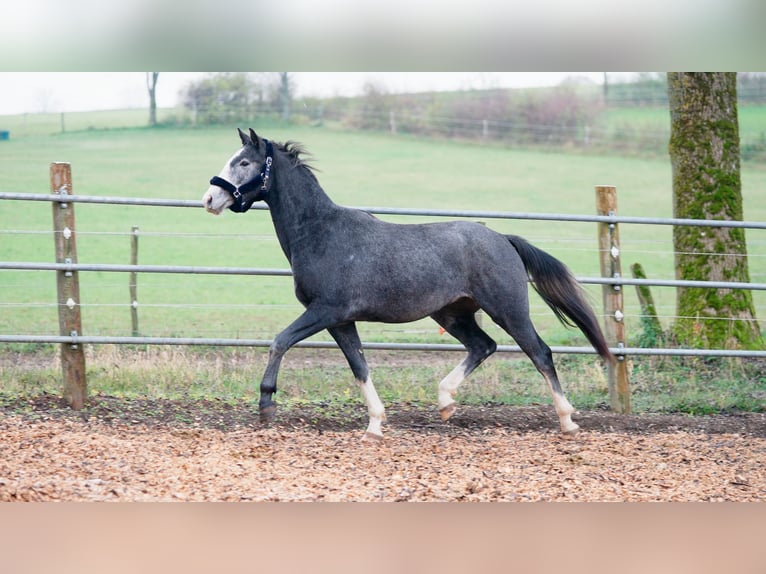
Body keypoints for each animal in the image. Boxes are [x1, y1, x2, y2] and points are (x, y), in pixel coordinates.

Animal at [202, 130, 612, 444]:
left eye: (243, 162)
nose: (210, 198)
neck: (322, 233)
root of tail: (502, 239)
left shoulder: (325, 311)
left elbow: (280, 342)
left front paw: (267, 404)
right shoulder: (340, 321)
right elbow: (359, 366)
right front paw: (375, 425)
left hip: (507, 309)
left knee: (540, 353)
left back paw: (567, 420)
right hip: (453, 313)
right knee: (483, 346)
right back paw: (446, 403)